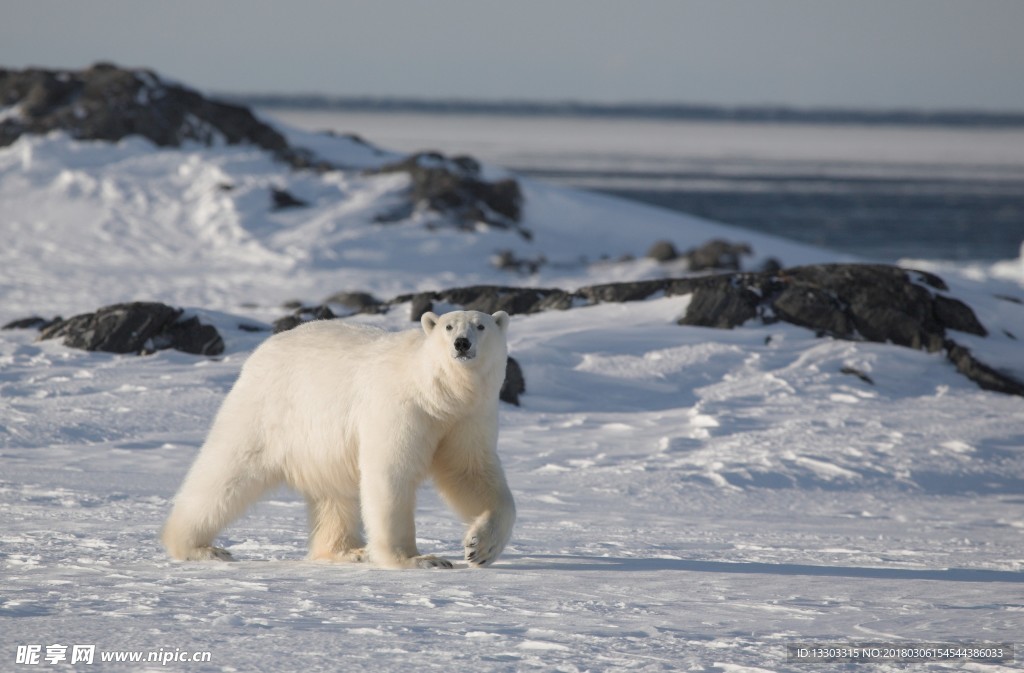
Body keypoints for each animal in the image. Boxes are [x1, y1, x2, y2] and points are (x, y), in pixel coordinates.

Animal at [162, 309, 516, 565]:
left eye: (481, 326)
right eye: (448, 326)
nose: (462, 343)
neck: (436, 394)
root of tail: (261, 352)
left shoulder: (467, 418)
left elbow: (469, 472)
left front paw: (479, 547)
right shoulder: (400, 409)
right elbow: (391, 473)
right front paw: (418, 559)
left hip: (322, 445)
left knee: (334, 494)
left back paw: (347, 551)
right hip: (268, 411)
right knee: (226, 472)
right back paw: (198, 547)